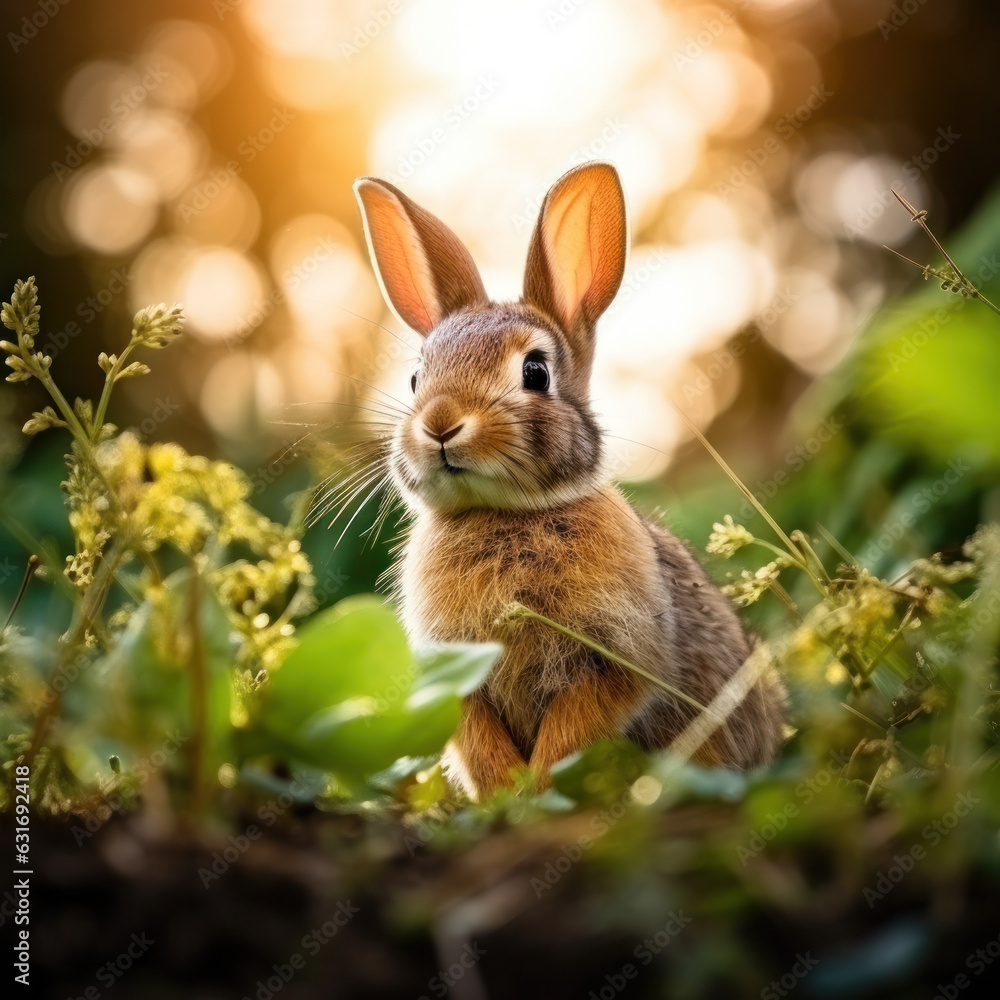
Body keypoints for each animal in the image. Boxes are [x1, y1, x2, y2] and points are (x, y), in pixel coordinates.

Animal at [352, 161, 785, 800]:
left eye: (535, 371)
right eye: (414, 379)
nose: (439, 425)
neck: (506, 513)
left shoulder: (613, 660)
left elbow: (573, 729)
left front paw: (532, 794)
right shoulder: (455, 675)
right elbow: (474, 735)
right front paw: (504, 794)